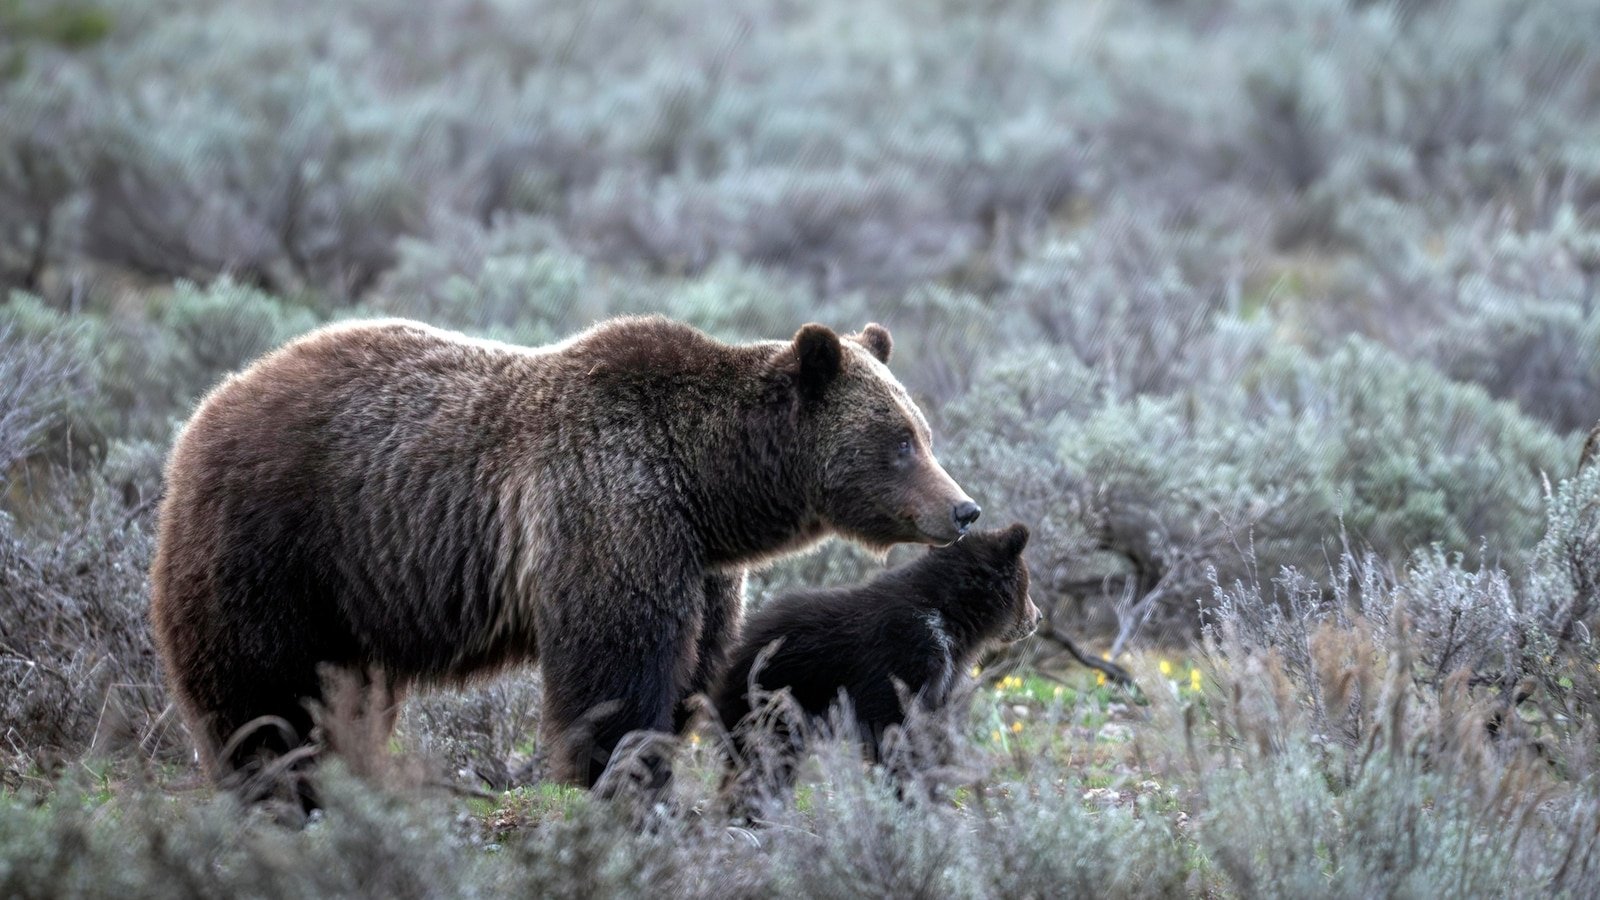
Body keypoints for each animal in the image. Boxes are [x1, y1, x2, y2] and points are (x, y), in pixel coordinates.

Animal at [147, 315, 980, 802]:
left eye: (922, 431)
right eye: (899, 441)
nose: (963, 509)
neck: (708, 488)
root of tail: (206, 408)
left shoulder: (699, 566)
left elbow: (690, 669)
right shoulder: (612, 511)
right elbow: (613, 668)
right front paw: (617, 779)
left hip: (348, 596)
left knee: (341, 695)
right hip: (277, 545)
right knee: (261, 689)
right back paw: (276, 786)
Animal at [710, 523, 1039, 811]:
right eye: (1027, 584)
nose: (1038, 618)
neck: (949, 618)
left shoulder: (942, 675)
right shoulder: (904, 654)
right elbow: (895, 727)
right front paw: (912, 796)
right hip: (775, 695)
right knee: (763, 754)